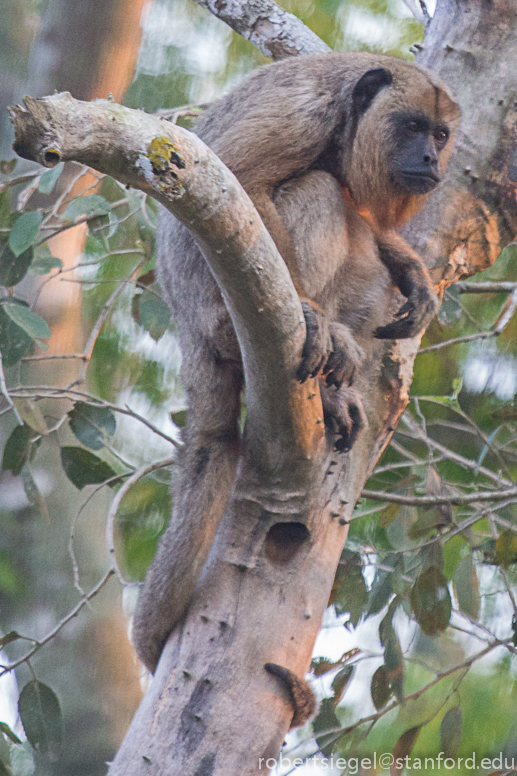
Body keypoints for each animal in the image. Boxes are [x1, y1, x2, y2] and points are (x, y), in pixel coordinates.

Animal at [133, 50, 460, 684]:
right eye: (411, 126)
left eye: (439, 134)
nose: (432, 158)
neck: (350, 122)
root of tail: (190, 330)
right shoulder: (303, 110)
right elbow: (238, 180)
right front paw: (310, 315)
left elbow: (375, 231)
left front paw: (411, 267)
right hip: (221, 318)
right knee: (321, 192)